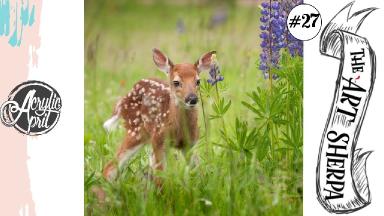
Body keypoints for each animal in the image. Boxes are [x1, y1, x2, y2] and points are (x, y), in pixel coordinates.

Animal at [103, 48, 216, 183]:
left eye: (198, 81)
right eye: (176, 82)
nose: (192, 99)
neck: (178, 129)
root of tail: (125, 98)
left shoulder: (190, 143)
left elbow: (198, 173)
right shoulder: (159, 140)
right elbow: (160, 178)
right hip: (135, 131)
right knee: (110, 168)